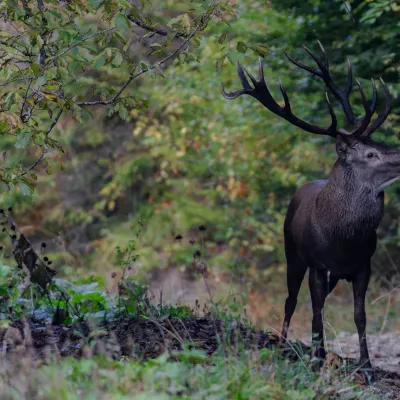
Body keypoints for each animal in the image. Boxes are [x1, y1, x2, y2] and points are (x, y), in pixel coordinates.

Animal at [222, 41, 397, 380]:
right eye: (371, 153)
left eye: (381, 142)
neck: (344, 240)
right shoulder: (318, 263)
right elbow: (315, 311)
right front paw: (317, 358)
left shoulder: (363, 265)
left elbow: (359, 315)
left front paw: (366, 364)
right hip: (292, 253)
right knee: (291, 299)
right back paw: (283, 342)